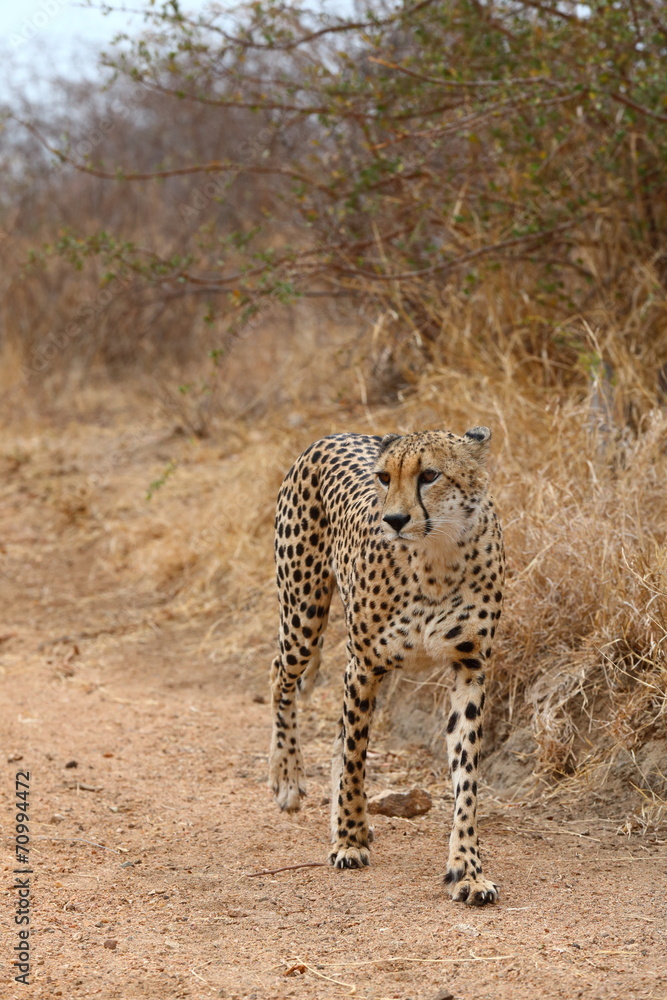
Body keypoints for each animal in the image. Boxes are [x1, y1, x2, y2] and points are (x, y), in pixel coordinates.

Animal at [268, 426, 505, 906]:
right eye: (383, 477)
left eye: (430, 475)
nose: (393, 519)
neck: (436, 556)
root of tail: (333, 434)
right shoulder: (362, 665)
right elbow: (356, 755)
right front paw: (348, 839)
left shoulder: (469, 669)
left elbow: (466, 778)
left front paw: (467, 869)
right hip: (302, 615)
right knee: (279, 677)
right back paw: (288, 779)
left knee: (334, 732)